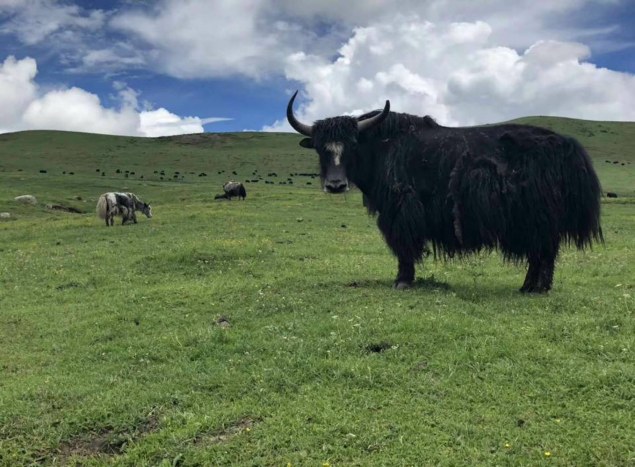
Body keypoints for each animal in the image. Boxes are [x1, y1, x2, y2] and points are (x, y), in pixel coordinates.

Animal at [287, 91, 603, 293]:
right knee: (540, 253)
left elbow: (404, 246)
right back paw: (526, 287)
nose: (335, 185)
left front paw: (402, 281)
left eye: (352, 145)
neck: (381, 147)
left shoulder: (400, 208)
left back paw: (538, 289)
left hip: (539, 217)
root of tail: (568, 147)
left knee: (545, 252)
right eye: (320, 148)